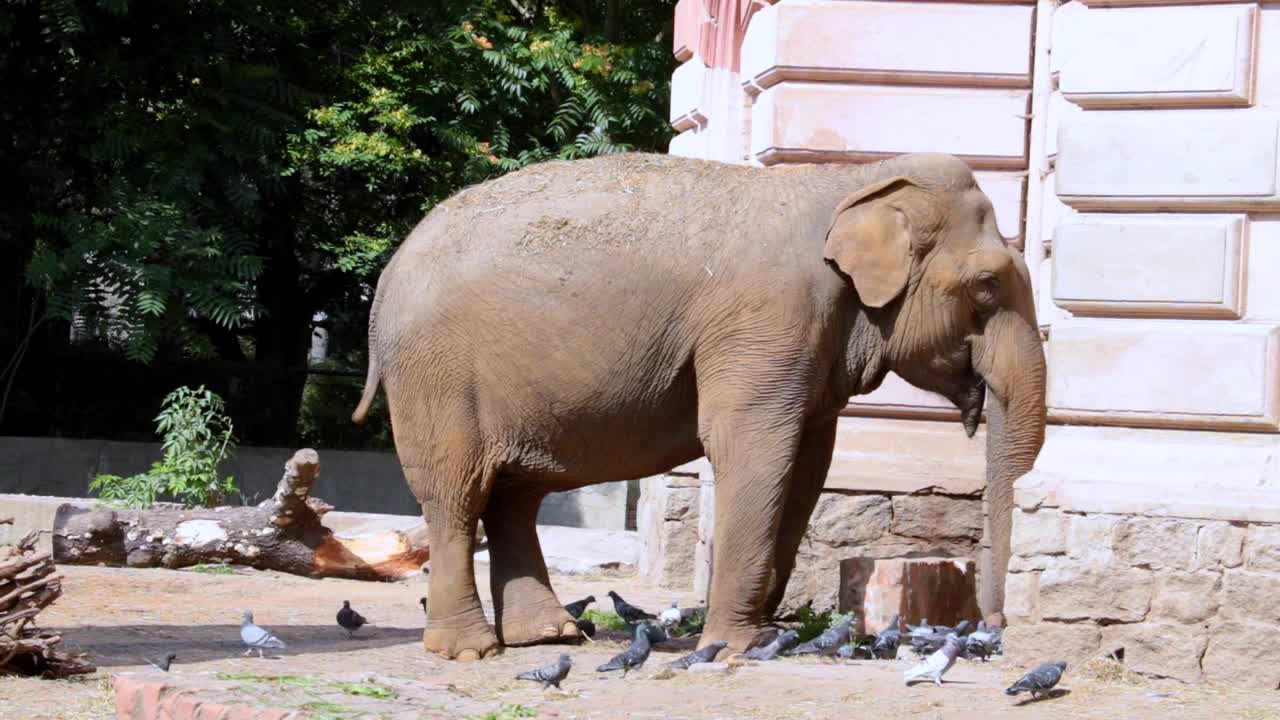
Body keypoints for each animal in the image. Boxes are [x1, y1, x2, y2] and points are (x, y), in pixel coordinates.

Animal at [348, 152, 1039, 661]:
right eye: (986, 285)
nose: (994, 626)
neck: (851, 181)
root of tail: (383, 284)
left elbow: (808, 463)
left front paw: (766, 634)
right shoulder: (767, 319)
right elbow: (752, 446)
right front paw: (739, 644)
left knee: (514, 497)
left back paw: (551, 637)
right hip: (436, 376)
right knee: (456, 493)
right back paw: (470, 651)